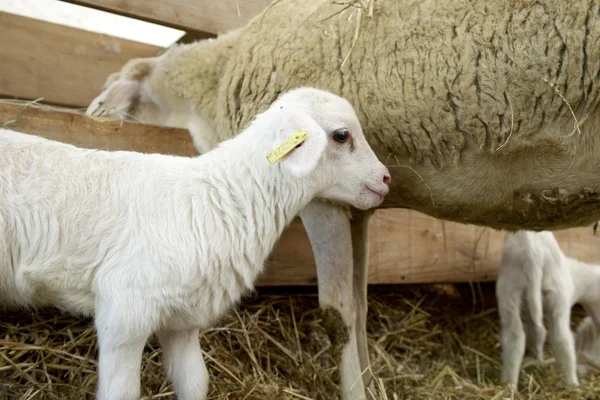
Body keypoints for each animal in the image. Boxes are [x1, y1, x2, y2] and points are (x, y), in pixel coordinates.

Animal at [0, 88, 392, 400]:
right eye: (341, 135)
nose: (386, 178)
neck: (220, 199)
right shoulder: (125, 310)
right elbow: (122, 392)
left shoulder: (182, 320)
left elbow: (195, 382)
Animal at [494, 230, 600, 390]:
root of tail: (532, 252)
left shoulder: (529, 308)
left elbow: (534, 332)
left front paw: (536, 356)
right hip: (557, 291)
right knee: (561, 337)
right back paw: (572, 384)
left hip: (509, 287)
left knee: (515, 335)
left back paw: (509, 386)